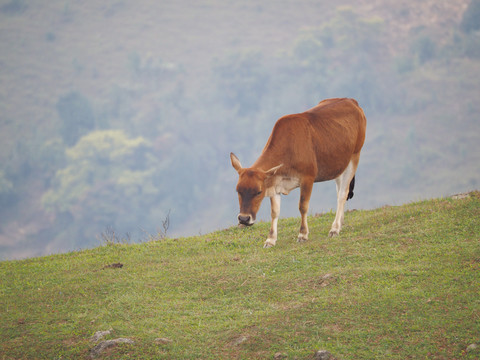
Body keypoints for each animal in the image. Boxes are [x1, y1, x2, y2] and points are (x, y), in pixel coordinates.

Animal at [231, 97, 366, 248]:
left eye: (259, 192)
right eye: (238, 190)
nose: (243, 218)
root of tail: (351, 101)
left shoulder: (308, 178)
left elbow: (303, 206)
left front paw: (303, 234)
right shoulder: (275, 182)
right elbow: (274, 212)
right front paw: (270, 239)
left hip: (355, 156)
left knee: (343, 194)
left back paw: (335, 228)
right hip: (339, 164)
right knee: (340, 191)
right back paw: (340, 222)